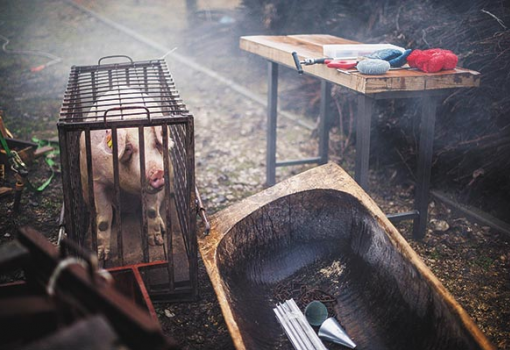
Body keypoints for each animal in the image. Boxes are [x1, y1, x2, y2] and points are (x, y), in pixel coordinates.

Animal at [79, 86, 174, 258]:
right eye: (128, 148)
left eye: (156, 143)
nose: (157, 172)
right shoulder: (96, 180)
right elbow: (104, 219)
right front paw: (101, 255)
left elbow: (151, 210)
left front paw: (156, 242)